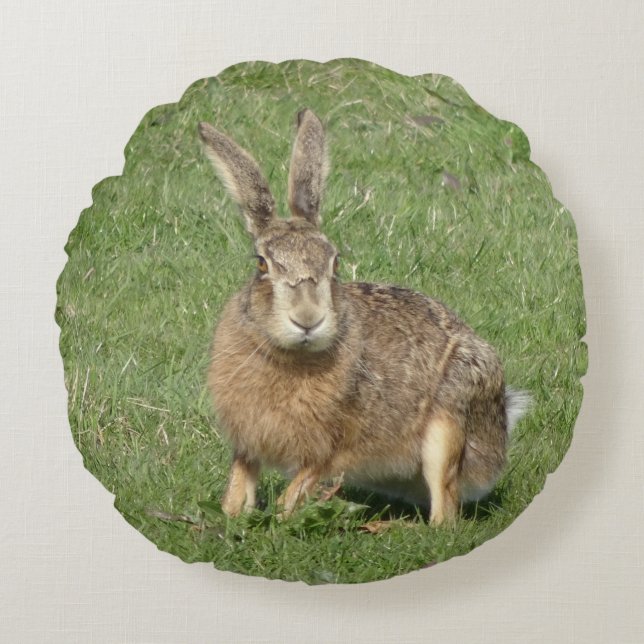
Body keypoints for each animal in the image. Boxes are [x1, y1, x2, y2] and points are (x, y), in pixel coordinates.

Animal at [198, 108, 529, 525]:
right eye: (262, 265)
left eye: (335, 263)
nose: (307, 318)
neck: (292, 357)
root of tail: (498, 437)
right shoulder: (248, 439)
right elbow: (241, 479)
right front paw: (230, 515)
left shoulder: (329, 448)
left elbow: (299, 486)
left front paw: (279, 518)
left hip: (448, 422)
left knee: (446, 510)